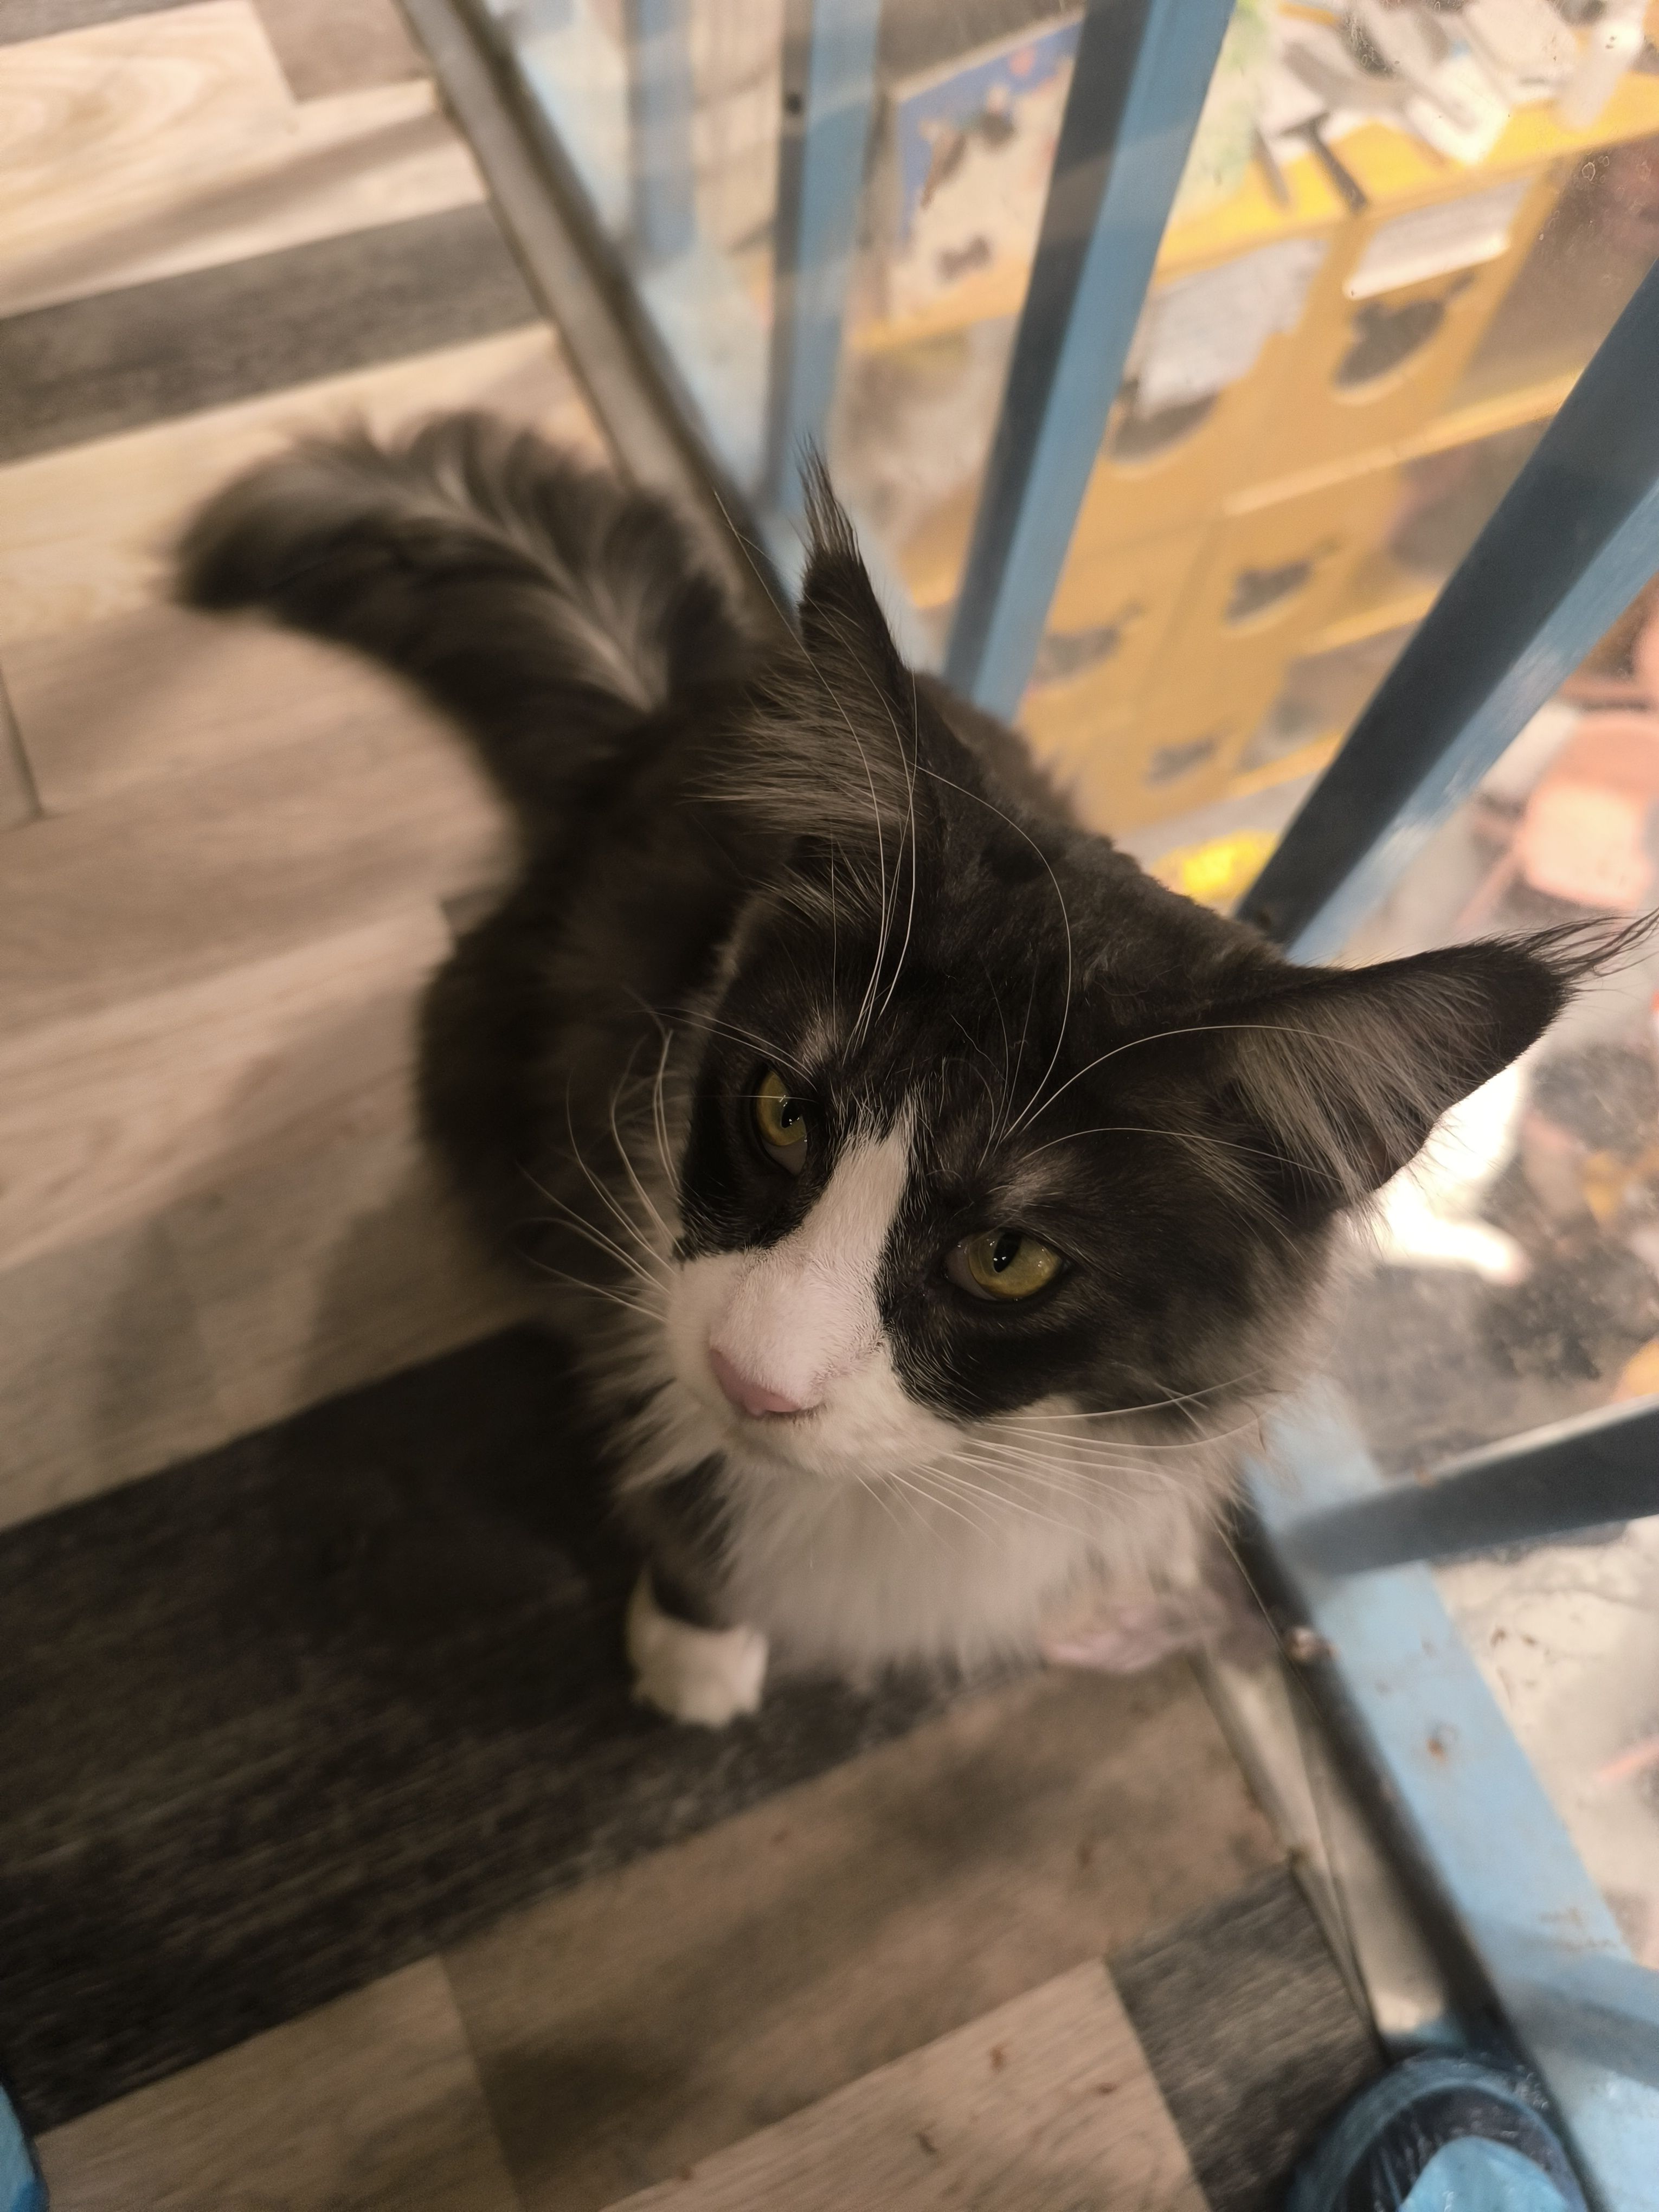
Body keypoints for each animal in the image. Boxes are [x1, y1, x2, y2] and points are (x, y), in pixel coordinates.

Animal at [178, 413, 1619, 1726]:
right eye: (780, 1113)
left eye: (1008, 1258)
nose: (754, 1380)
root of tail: (668, 713)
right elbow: (685, 1482)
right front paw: (697, 1654)